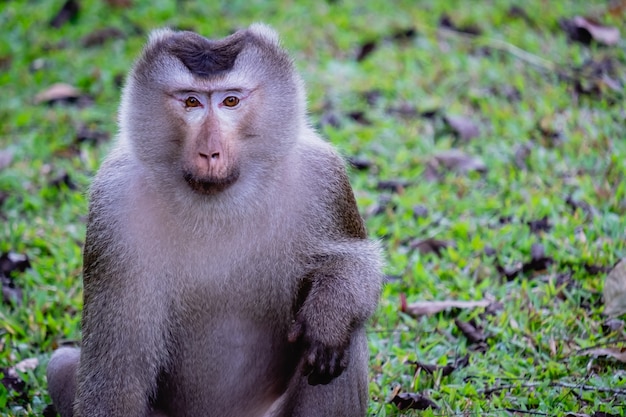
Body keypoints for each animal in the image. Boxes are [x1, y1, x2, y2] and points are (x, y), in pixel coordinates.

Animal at [46, 23, 380, 416]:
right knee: (59, 366)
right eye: (192, 102)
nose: (209, 152)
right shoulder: (112, 206)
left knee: (346, 339)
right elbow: (116, 372)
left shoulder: (323, 176)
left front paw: (329, 314)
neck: (217, 202)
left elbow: (357, 264)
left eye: (230, 101)